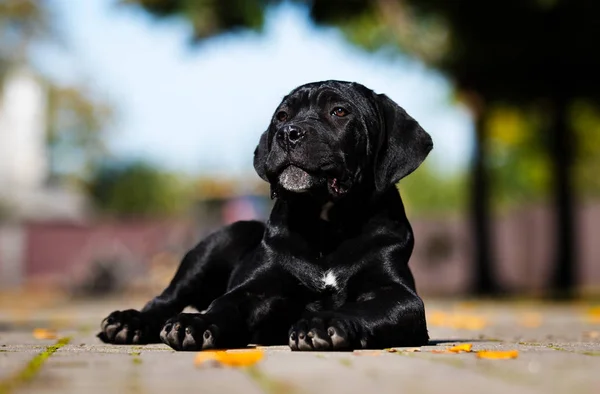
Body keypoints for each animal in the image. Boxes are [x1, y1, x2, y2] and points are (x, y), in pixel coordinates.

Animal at [99, 81, 436, 350]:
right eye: (282, 116)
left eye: (339, 111)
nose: (289, 133)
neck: (325, 224)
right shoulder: (257, 288)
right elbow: (225, 303)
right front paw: (196, 324)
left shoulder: (399, 296)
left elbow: (359, 309)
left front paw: (322, 323)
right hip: (222, 240)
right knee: (165, 300)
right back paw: (130, 323)